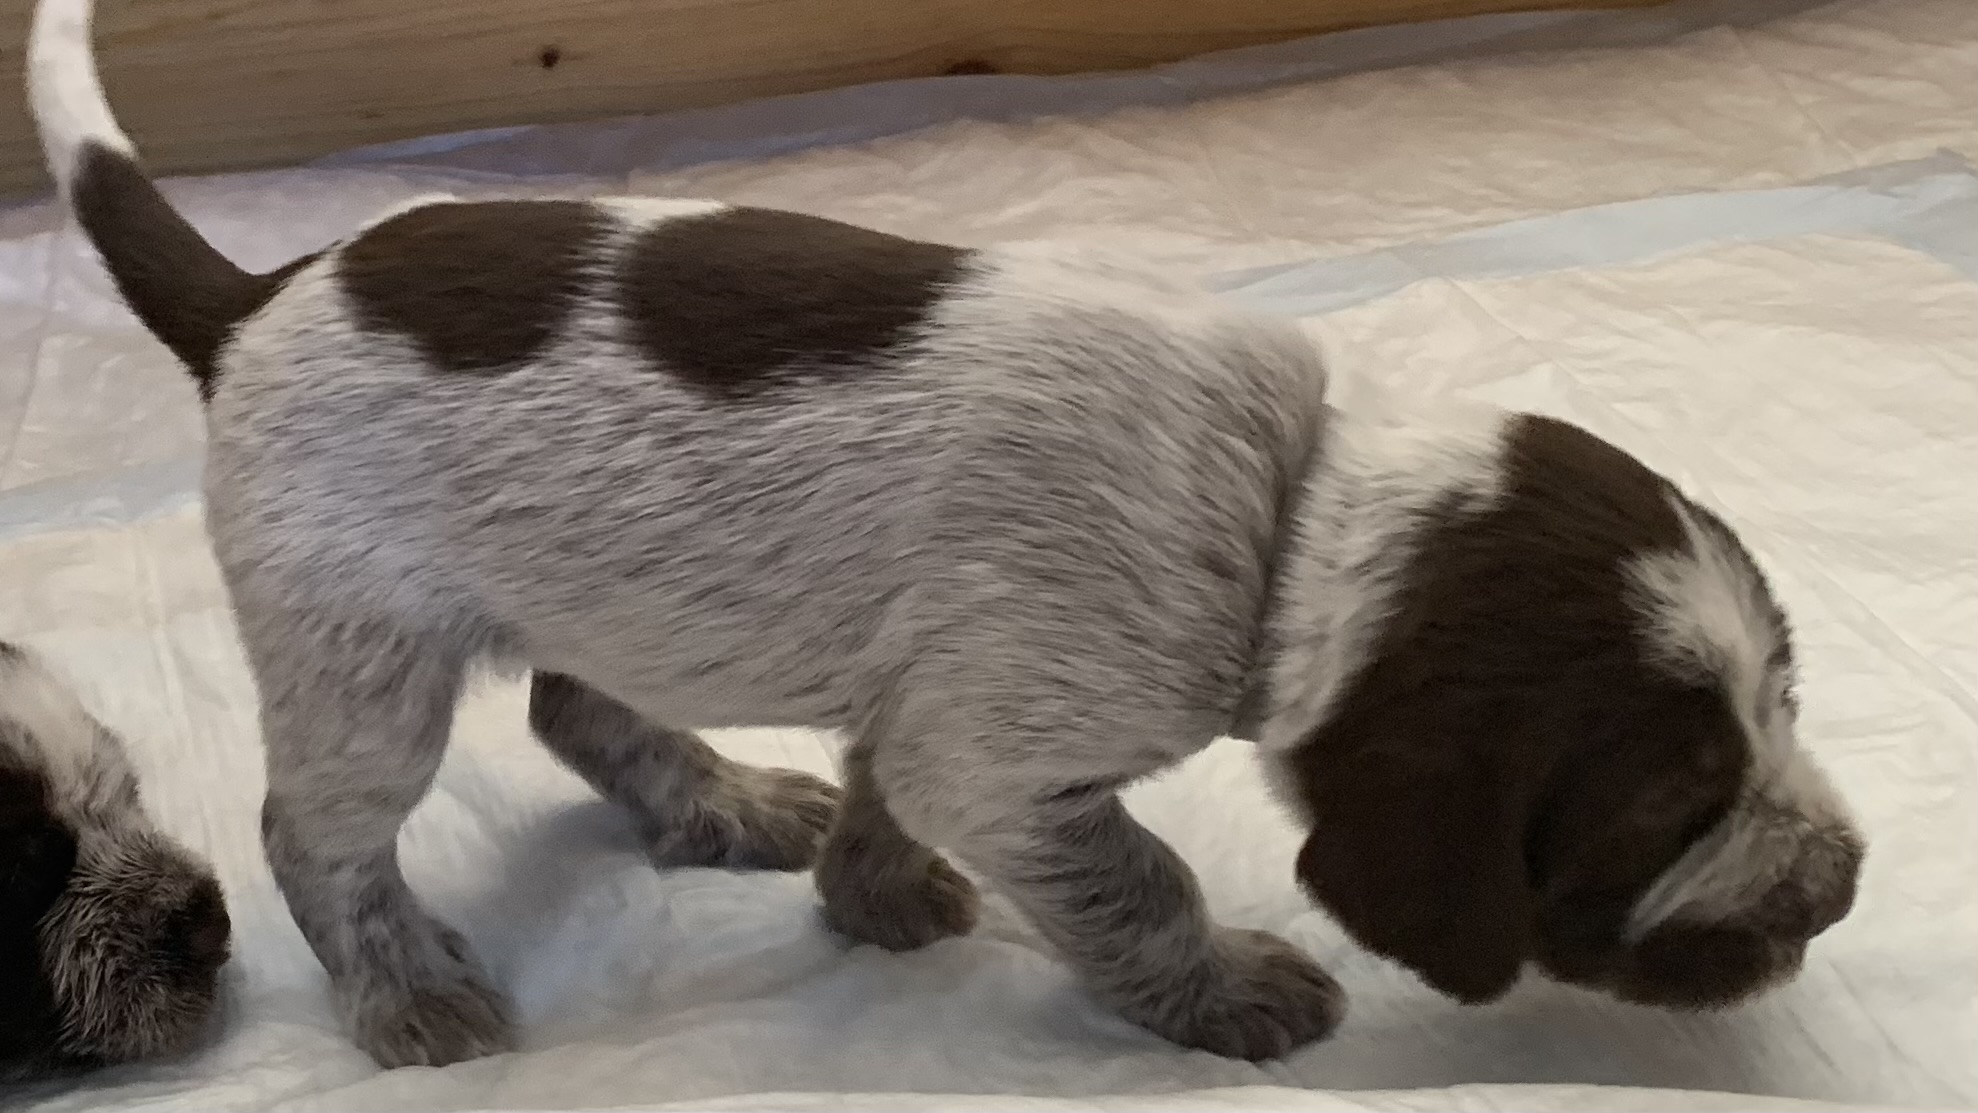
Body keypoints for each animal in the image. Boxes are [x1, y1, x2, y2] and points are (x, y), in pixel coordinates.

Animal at [28, 0, 1863, 1070]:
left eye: (1790, 700)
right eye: (1672, 807)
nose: (1841, 886)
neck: (1288, 512)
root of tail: (257, 299)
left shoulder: (929, 690)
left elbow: (886, 777)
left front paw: (873, 882)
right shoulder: (1014, 744)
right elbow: (1133, 880)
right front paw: (1223, 991)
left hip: (592, 582)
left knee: (571, 701)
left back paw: (711, 795)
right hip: (366, 657)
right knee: (316, 831)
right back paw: (402, 984)